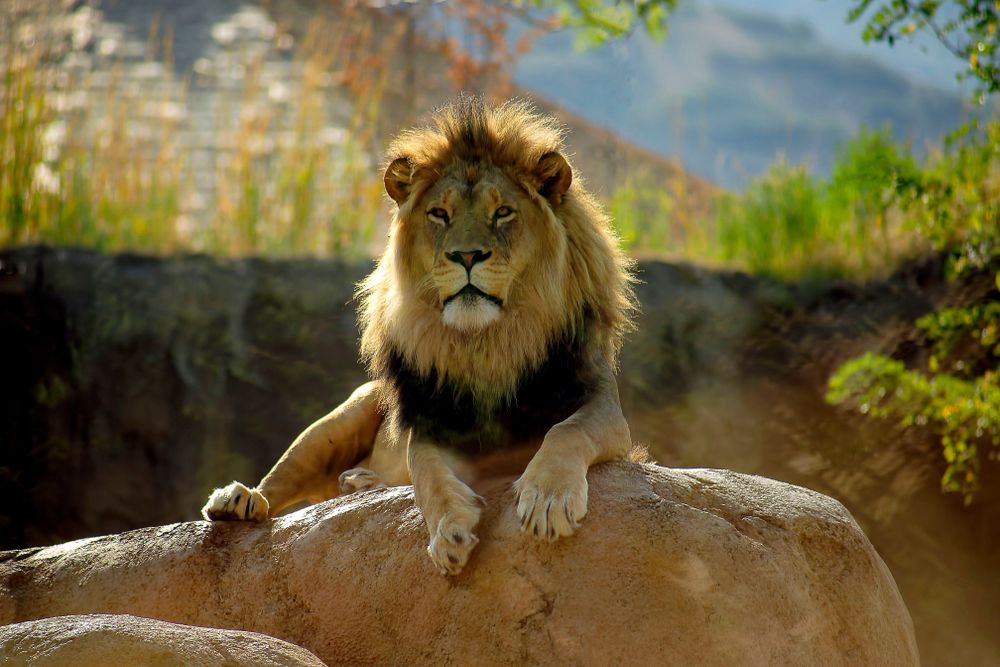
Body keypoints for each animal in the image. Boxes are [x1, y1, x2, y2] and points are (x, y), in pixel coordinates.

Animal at [202, 97, 637, 576]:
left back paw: (358, 482)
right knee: (281, 481)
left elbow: (567, 431)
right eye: (440, 214)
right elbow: (427, 473)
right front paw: (449, 530)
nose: (466, 255)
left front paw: (547, 500)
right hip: (343, 415)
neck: (490, 345)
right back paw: (241, 499)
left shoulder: (602, 408)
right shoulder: (431, 424)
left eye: (503, 212)